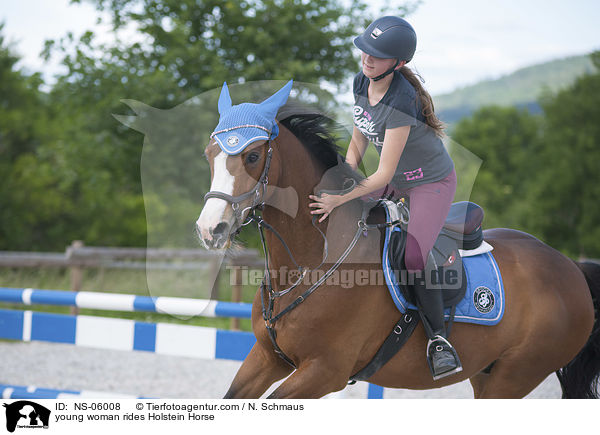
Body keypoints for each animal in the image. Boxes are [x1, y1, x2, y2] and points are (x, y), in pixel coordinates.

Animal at [197, 111, 600, 398]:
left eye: (252, 156)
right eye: (210, 155)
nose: (209, 228)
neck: (312, 262)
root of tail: (571, 267)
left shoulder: (324, 372)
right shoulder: (267, 358)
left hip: (515, 376)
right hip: (486, 373)